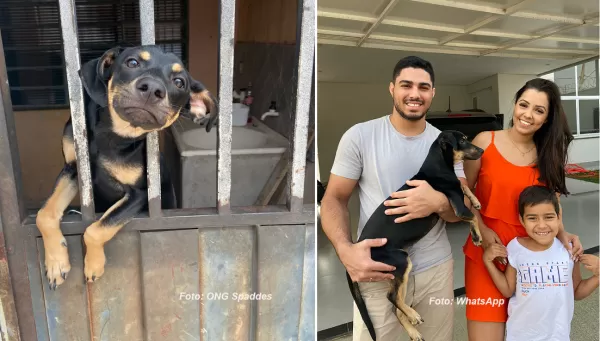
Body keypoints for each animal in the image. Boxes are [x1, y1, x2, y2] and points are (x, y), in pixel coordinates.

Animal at [35, 45, 218, 288]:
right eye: (132, 63)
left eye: (179, 82)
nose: (152, 89)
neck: (113, 135)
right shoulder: (73, 169)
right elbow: (44, 215)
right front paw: (56, 263)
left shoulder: (139, 194)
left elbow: (96, 229)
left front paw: (93, 265)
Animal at [350, 129, 486, 340]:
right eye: (463, 140)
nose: (482, 150)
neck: (438, 166)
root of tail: (358, 247)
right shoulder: (459, 208)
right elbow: (473, 217)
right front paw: (477, 237)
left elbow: (463, 186)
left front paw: (476, 200)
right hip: (401, 261)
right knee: (391, 298)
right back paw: (413, 315)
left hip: (398, 272)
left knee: (395, 308)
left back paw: (413, 330)